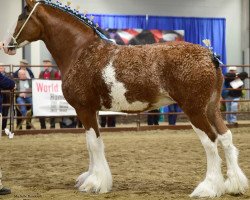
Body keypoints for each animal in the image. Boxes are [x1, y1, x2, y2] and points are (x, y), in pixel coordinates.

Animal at [0, 0, 248, 197]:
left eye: (22, 16)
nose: (6, 45)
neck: (81, 51)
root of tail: (209, 55)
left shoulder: (84, 109)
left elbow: (94, 143)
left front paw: (95, 183)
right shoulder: (91, 110)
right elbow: (91, 144)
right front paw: (90, 178)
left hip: (194, 110)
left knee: (211, 142)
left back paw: (208, 188)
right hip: (211, 108)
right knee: (225, 137)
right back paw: (234, 185)